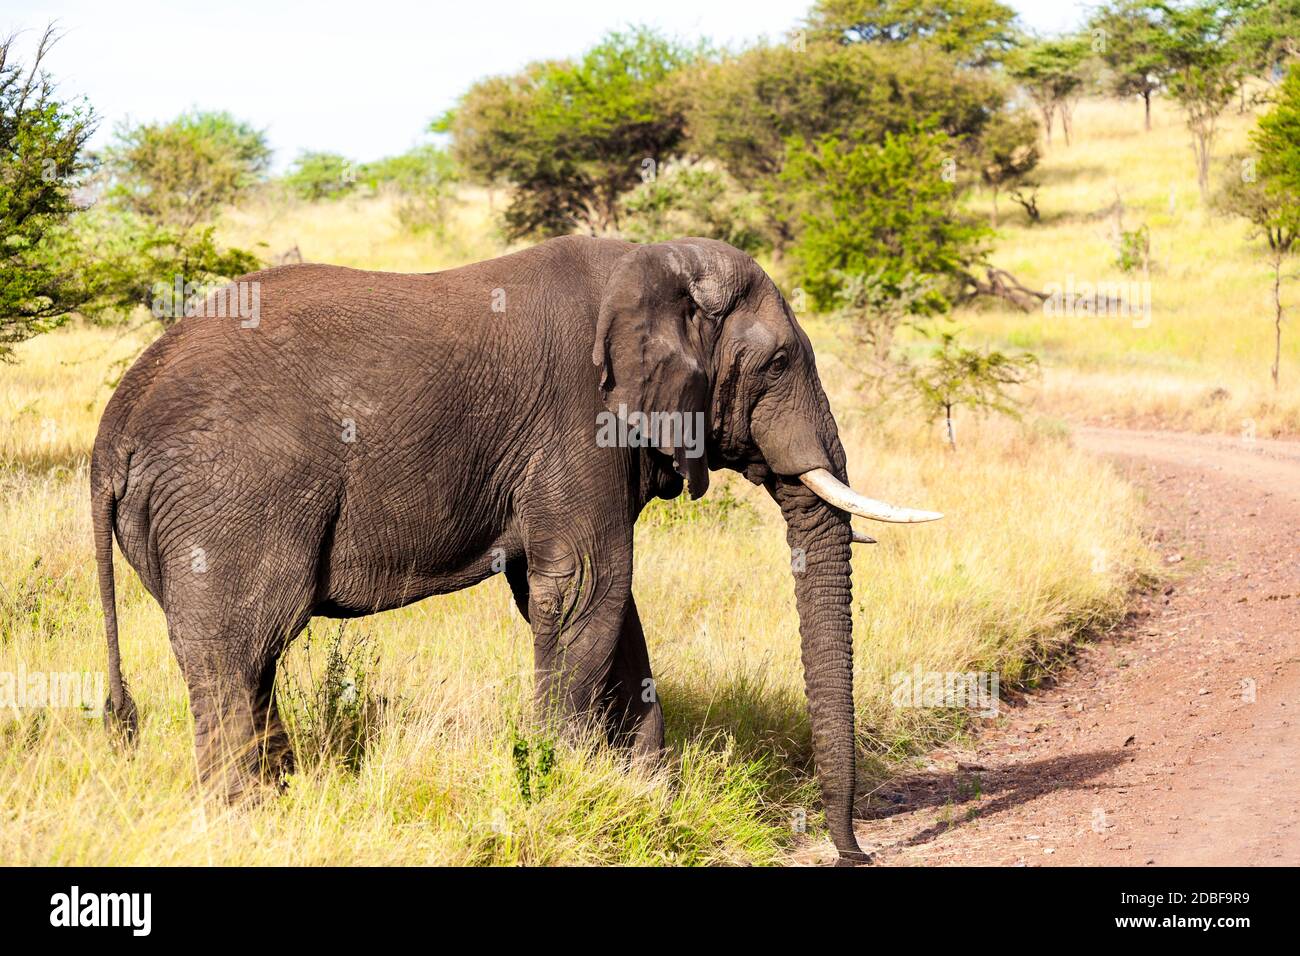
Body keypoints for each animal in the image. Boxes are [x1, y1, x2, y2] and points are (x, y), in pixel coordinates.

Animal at [94, 235, 946, 863]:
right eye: (776, 364)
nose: (858, 853)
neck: (654, 262)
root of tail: (112, 433)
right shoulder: (580, 423)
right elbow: (585, 590)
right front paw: (559, 790)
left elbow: (608, 612)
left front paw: (650, 802)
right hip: (231, 499)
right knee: (237, 656)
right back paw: (248, 825)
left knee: (248, 661)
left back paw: (274, 805)